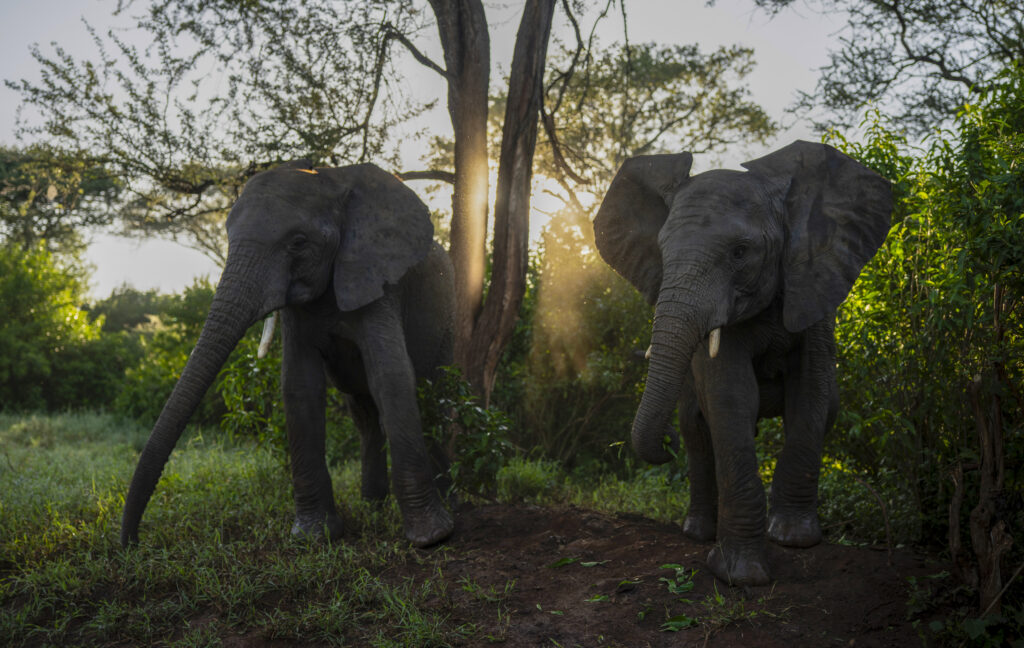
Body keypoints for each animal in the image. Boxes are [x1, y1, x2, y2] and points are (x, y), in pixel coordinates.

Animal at [120, 159, 456, 549]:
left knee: (440, 395)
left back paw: (448, 498)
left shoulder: (378, 277)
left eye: (298, 243)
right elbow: (299, 384)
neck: (331, 180)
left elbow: (391, 375)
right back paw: (373, 505)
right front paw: (314, 536)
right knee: (364, 412)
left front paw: (432, 538)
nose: (131, 543)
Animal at [593, 141, 892, 585]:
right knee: (696, 431)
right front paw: (740, 574)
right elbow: (731, 398)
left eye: (740, 252)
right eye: (662, 251)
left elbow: (810, 394)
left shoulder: (814, 288)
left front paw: (793, 539)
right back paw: (698, 532)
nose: (663, 444)